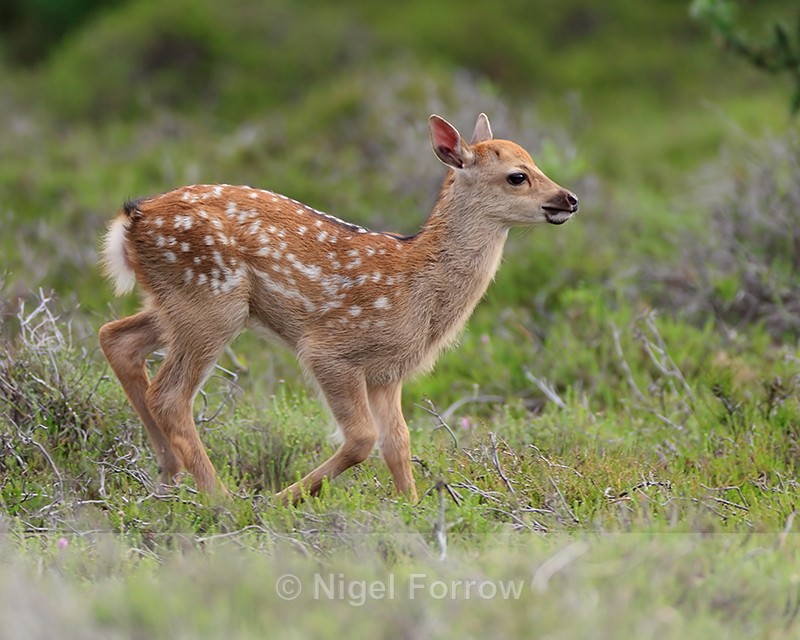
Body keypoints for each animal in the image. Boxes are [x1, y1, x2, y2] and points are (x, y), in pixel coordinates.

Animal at [98, 113, 578, 505]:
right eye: (517, 176)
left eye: (534, 162)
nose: (569, 199)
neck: (419, 285)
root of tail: (132, 219)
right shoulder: (330, 350)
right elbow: (364, 438)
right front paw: (281, 500)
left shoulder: (387, 371)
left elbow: (398, 442)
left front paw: (412, 509)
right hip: (211, 302)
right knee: (169, 394)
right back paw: (223, 500)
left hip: (180, 305)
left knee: (116, 337)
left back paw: (169, 475)